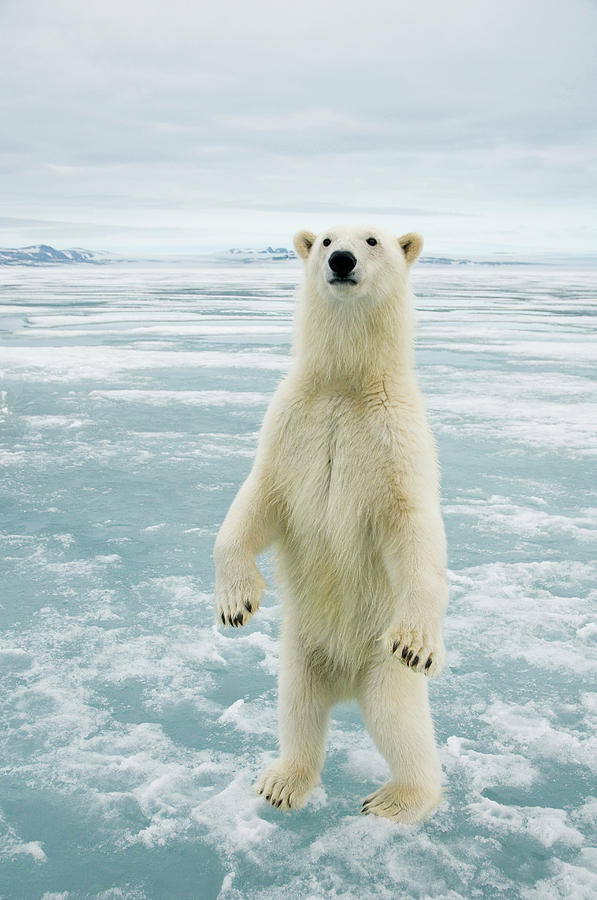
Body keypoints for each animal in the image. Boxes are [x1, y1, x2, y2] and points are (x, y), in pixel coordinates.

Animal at [214, 225, 448, 824]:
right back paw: (281, 782)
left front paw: (418, 642)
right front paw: (236, 602)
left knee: (399, 722)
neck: (346, 384)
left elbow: (413, 528)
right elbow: (257, 501)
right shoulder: (291, 422)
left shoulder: (395, 437)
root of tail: (346, 681)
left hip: (378, 659)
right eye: (323, 240)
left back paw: (397, 798)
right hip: (301, 649)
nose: (341, 260)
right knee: (297, 709)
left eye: (373, 240)